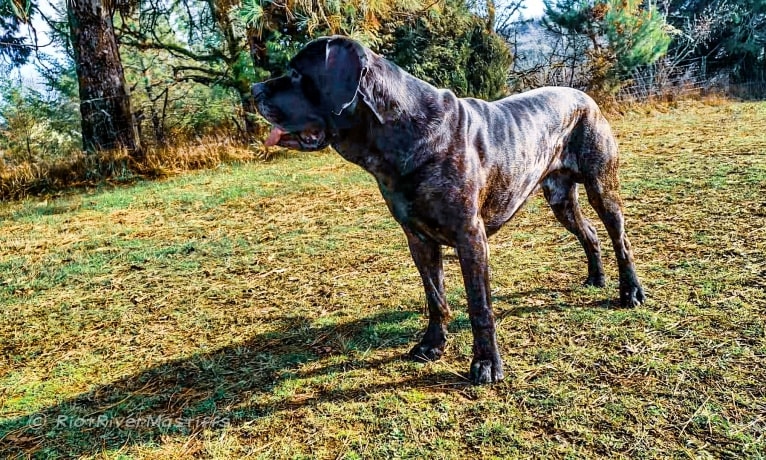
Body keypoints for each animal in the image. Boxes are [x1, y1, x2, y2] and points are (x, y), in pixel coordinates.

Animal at [254, 36, 648, 384]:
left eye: (296, 74)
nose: (255, 89)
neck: (401, 134)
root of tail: (584, 96)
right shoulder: (419, 239)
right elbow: (435, 296)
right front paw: (432, 345)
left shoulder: (470, 238)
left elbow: (479, 306)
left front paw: (486, 364)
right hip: (560, 199)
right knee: (590, 233)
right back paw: (595, 277)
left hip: (602, 187)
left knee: (620, 240)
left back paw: (630, 292)